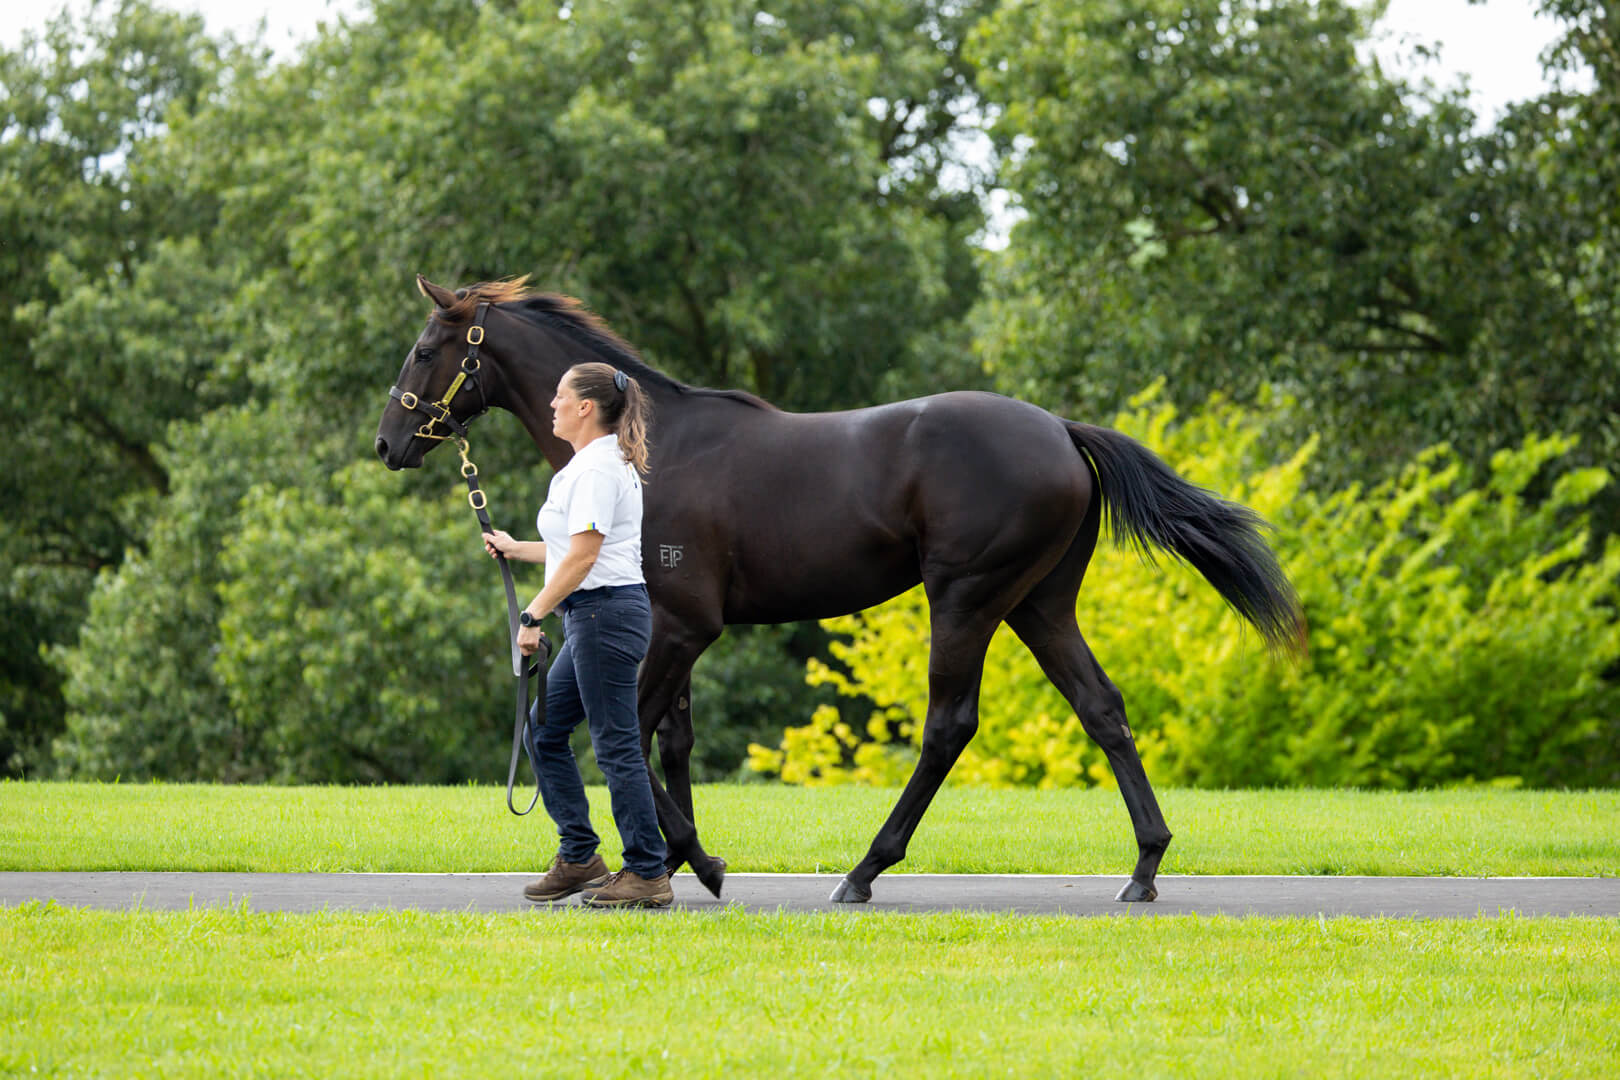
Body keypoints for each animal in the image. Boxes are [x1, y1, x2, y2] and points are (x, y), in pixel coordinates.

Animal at [375, 276, 1302, 906]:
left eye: (424, 349)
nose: (389, 441)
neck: (651, 446)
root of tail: (1062, 431)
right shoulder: (677, 633)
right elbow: (670, 742)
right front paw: (671, 861)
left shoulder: (683, 625)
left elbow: (626, 739)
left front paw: (691, 865)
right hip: (1039, 605)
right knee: (1102, 707)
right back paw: (1144, 865)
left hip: (967, 598)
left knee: (949, 725)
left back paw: (863, 870)